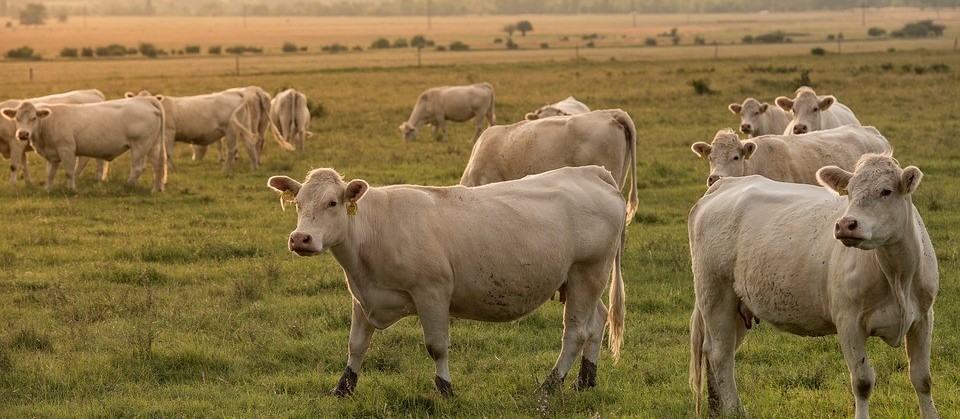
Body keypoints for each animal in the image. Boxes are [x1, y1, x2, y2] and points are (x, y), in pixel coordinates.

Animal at [1, 97, 166, 192]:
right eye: (16, 118)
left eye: (34, 118)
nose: (23, 134)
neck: (49, 122)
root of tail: (145, 100)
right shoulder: (52, 154)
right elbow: (50, 173)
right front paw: (48, 189)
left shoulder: (66, 149)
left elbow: (69, 171)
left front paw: (71, 189)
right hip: (153, 145)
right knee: (158, 165)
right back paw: (156, 189)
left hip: (140, 146)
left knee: (138, 167)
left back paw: (128, 186)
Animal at [267, 165, 626, 397]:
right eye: (298, 204)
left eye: (332, 203)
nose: (300, 238)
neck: (375, 230)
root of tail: (591, 172)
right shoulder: (363, 296)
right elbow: (356, 345)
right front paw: (343, 387)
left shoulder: (432, 293)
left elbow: (437, 347)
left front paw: (445, 389)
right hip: (581, 281)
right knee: (597, 322)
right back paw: (585, 380)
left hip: (587, 272)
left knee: (575, 332)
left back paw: (551, 384)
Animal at [688, 153, 939, 419]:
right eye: (849, 192)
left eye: (886, 191)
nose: (845, 224)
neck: (898, 276)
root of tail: (724, 184)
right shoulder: (848, 322)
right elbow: (862, 382)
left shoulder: (924, 318)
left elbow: (922, 378)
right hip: (715, 294)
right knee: (720, 354)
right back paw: (734, 409)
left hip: (738, 305)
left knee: (718, 352)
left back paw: (719, 408)